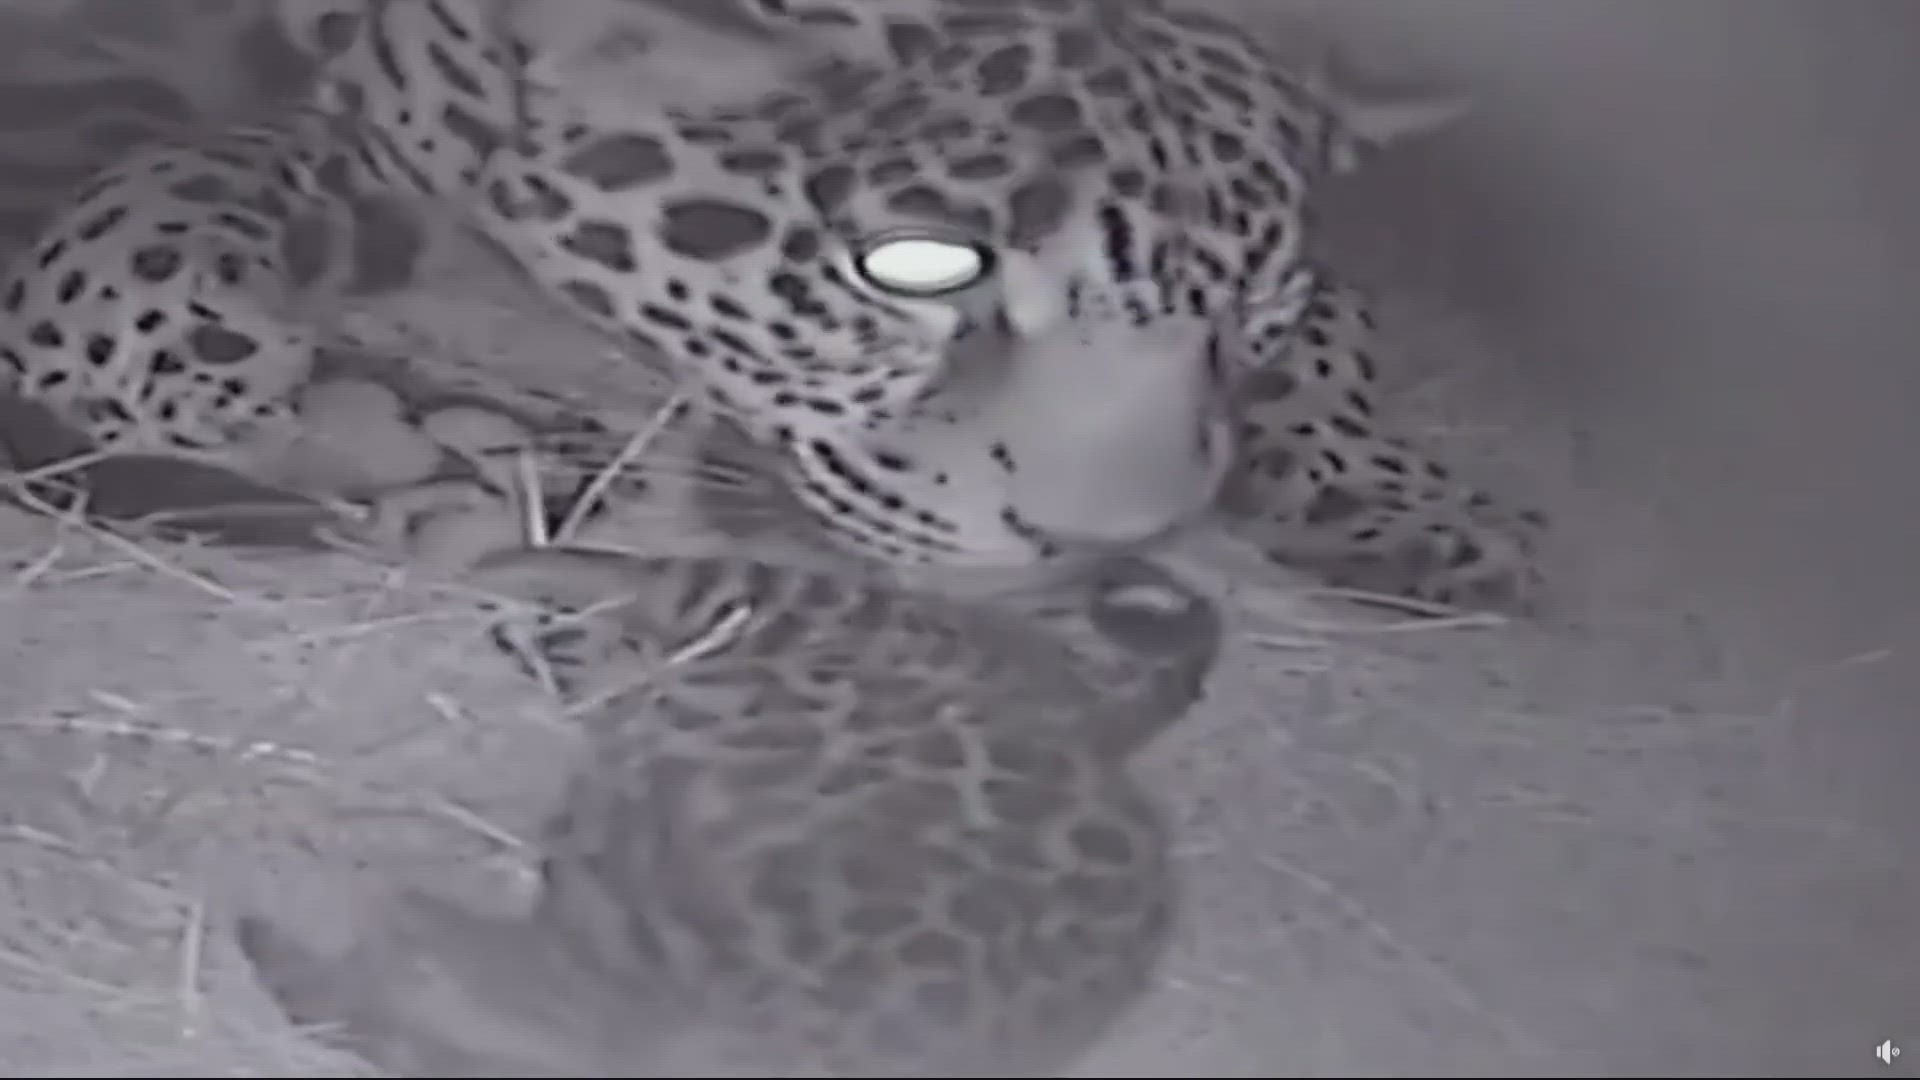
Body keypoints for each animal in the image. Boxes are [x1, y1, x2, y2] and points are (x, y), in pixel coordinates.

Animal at [0, 0, 1541, 610]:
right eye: (920, 270)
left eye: (1252, 317)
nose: (1101, 549)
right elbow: (131, 244)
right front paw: (232, 365)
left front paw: (1407, 501)